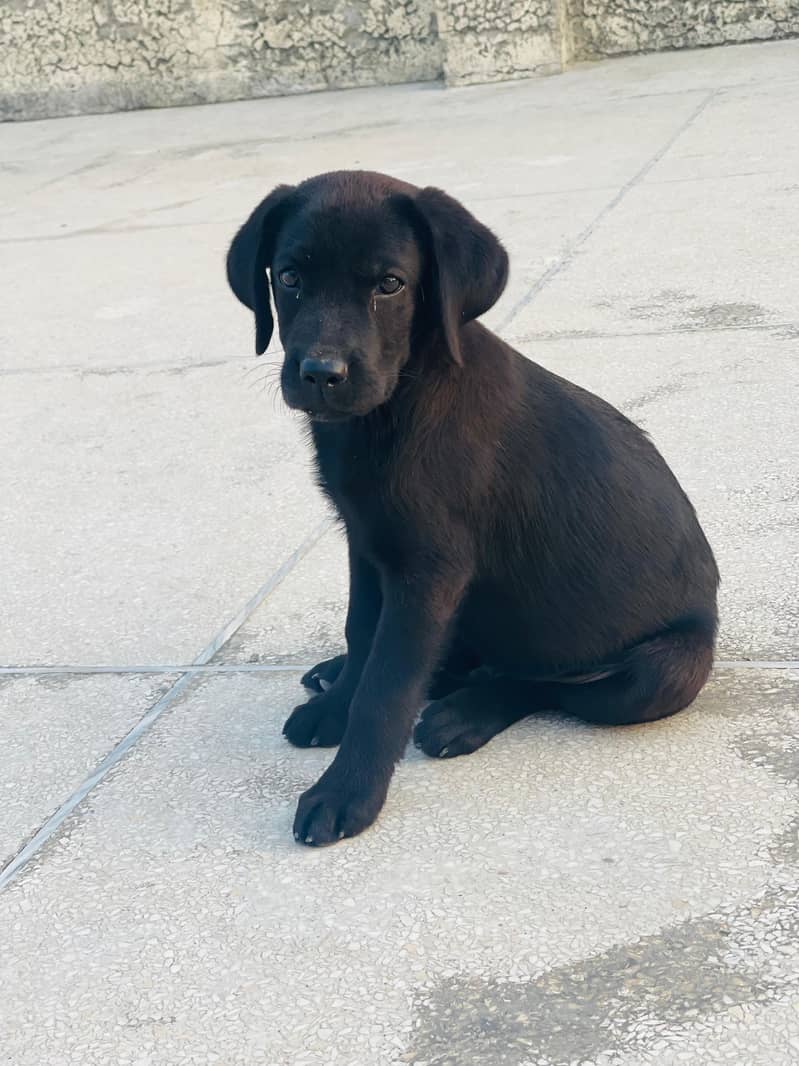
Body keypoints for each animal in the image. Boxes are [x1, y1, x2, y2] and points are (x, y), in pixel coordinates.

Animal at [225, 170, 720, 844]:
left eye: (390, 284)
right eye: (290, 277)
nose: (320, 373)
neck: (396, 405)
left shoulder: (430, 569)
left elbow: (387, 685)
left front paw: (347, 791)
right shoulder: (366, 543)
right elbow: (363, 634)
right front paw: (335, 703)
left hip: (662, 672)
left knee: (549, 686)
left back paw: (463, 714)